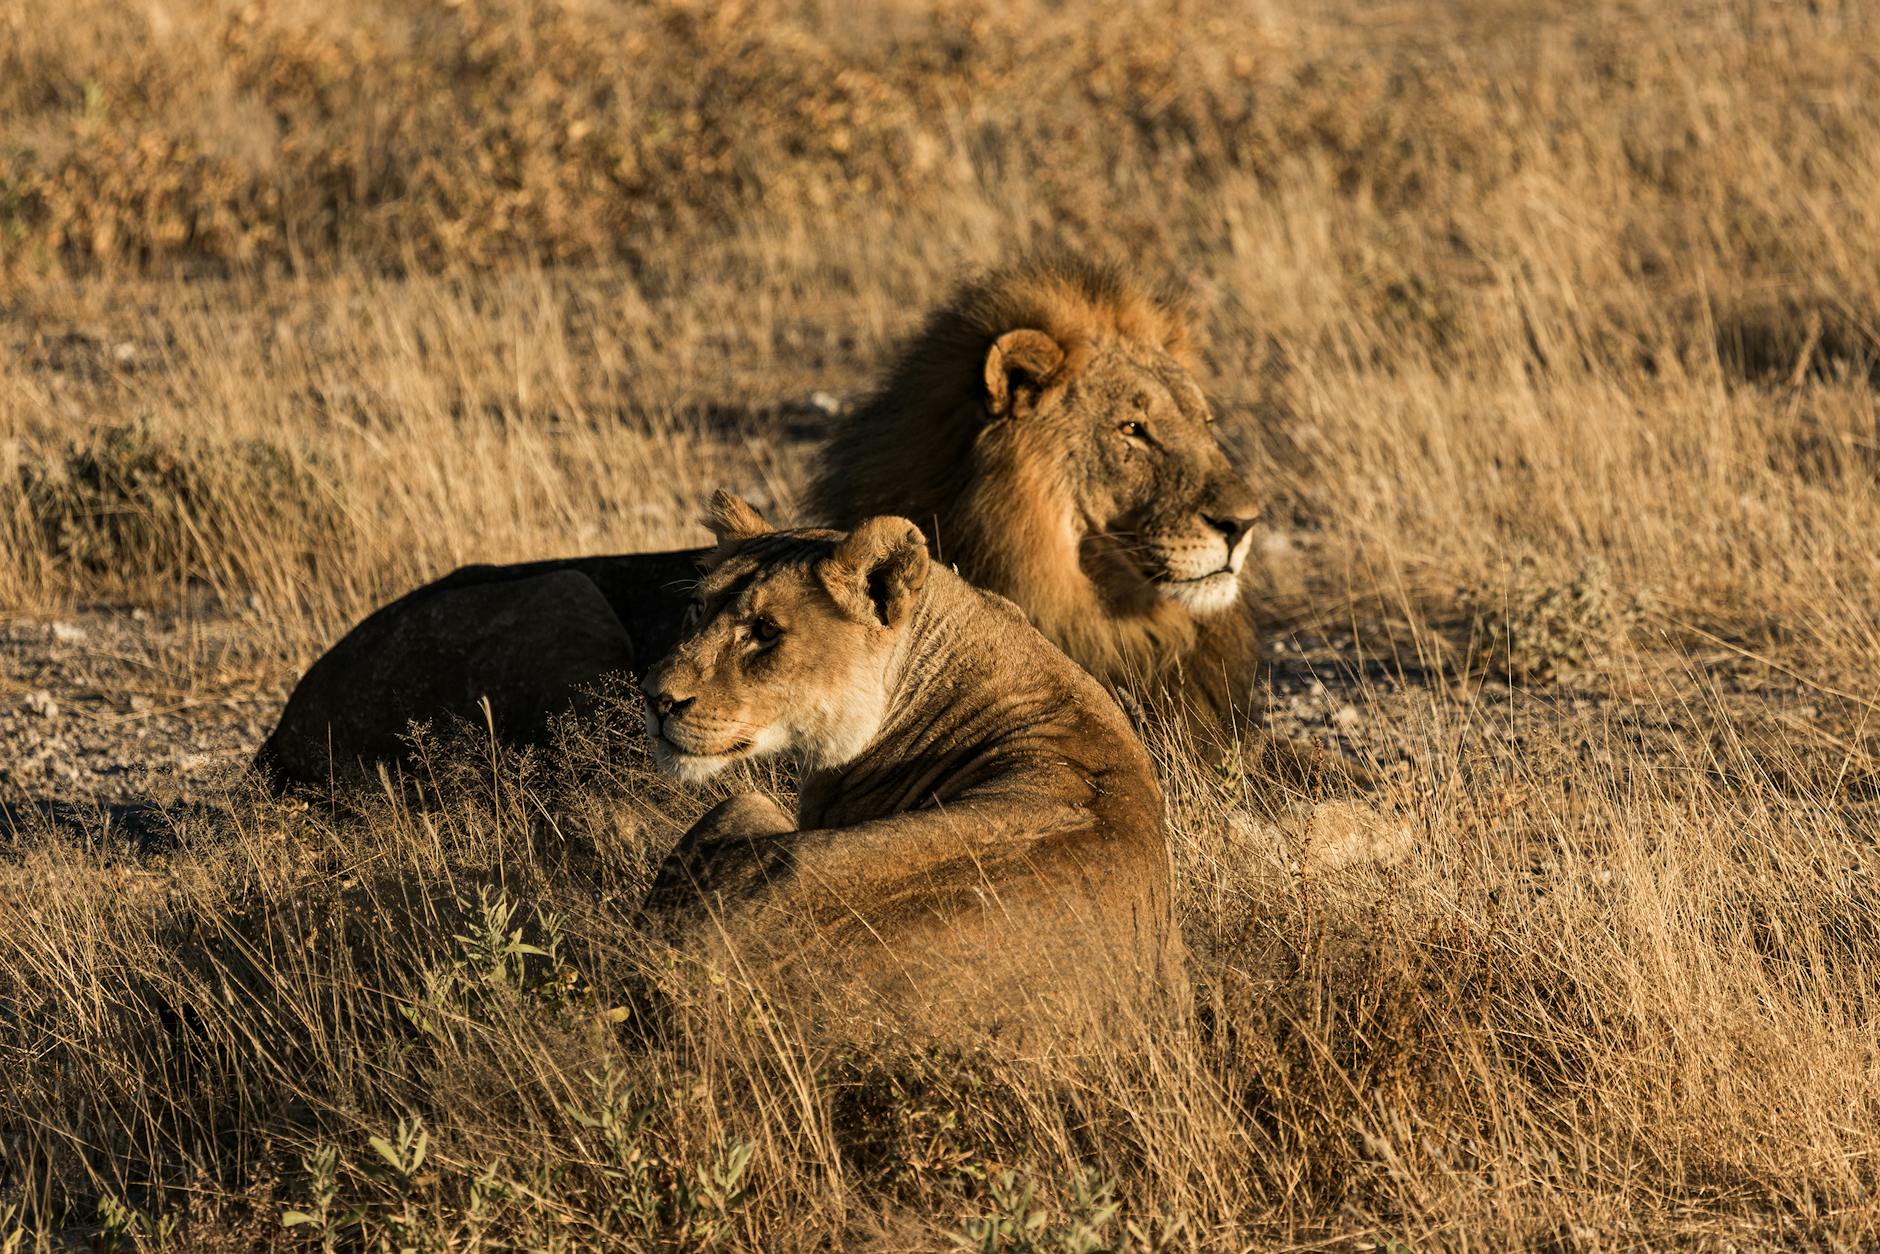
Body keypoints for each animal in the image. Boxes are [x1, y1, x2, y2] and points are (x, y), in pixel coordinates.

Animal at [256, 255, 1362, 793]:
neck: (1118, 614)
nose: (1245, 522)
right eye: (1133, 429)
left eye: (1203, 423)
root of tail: (280, 730)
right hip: (563, 595)